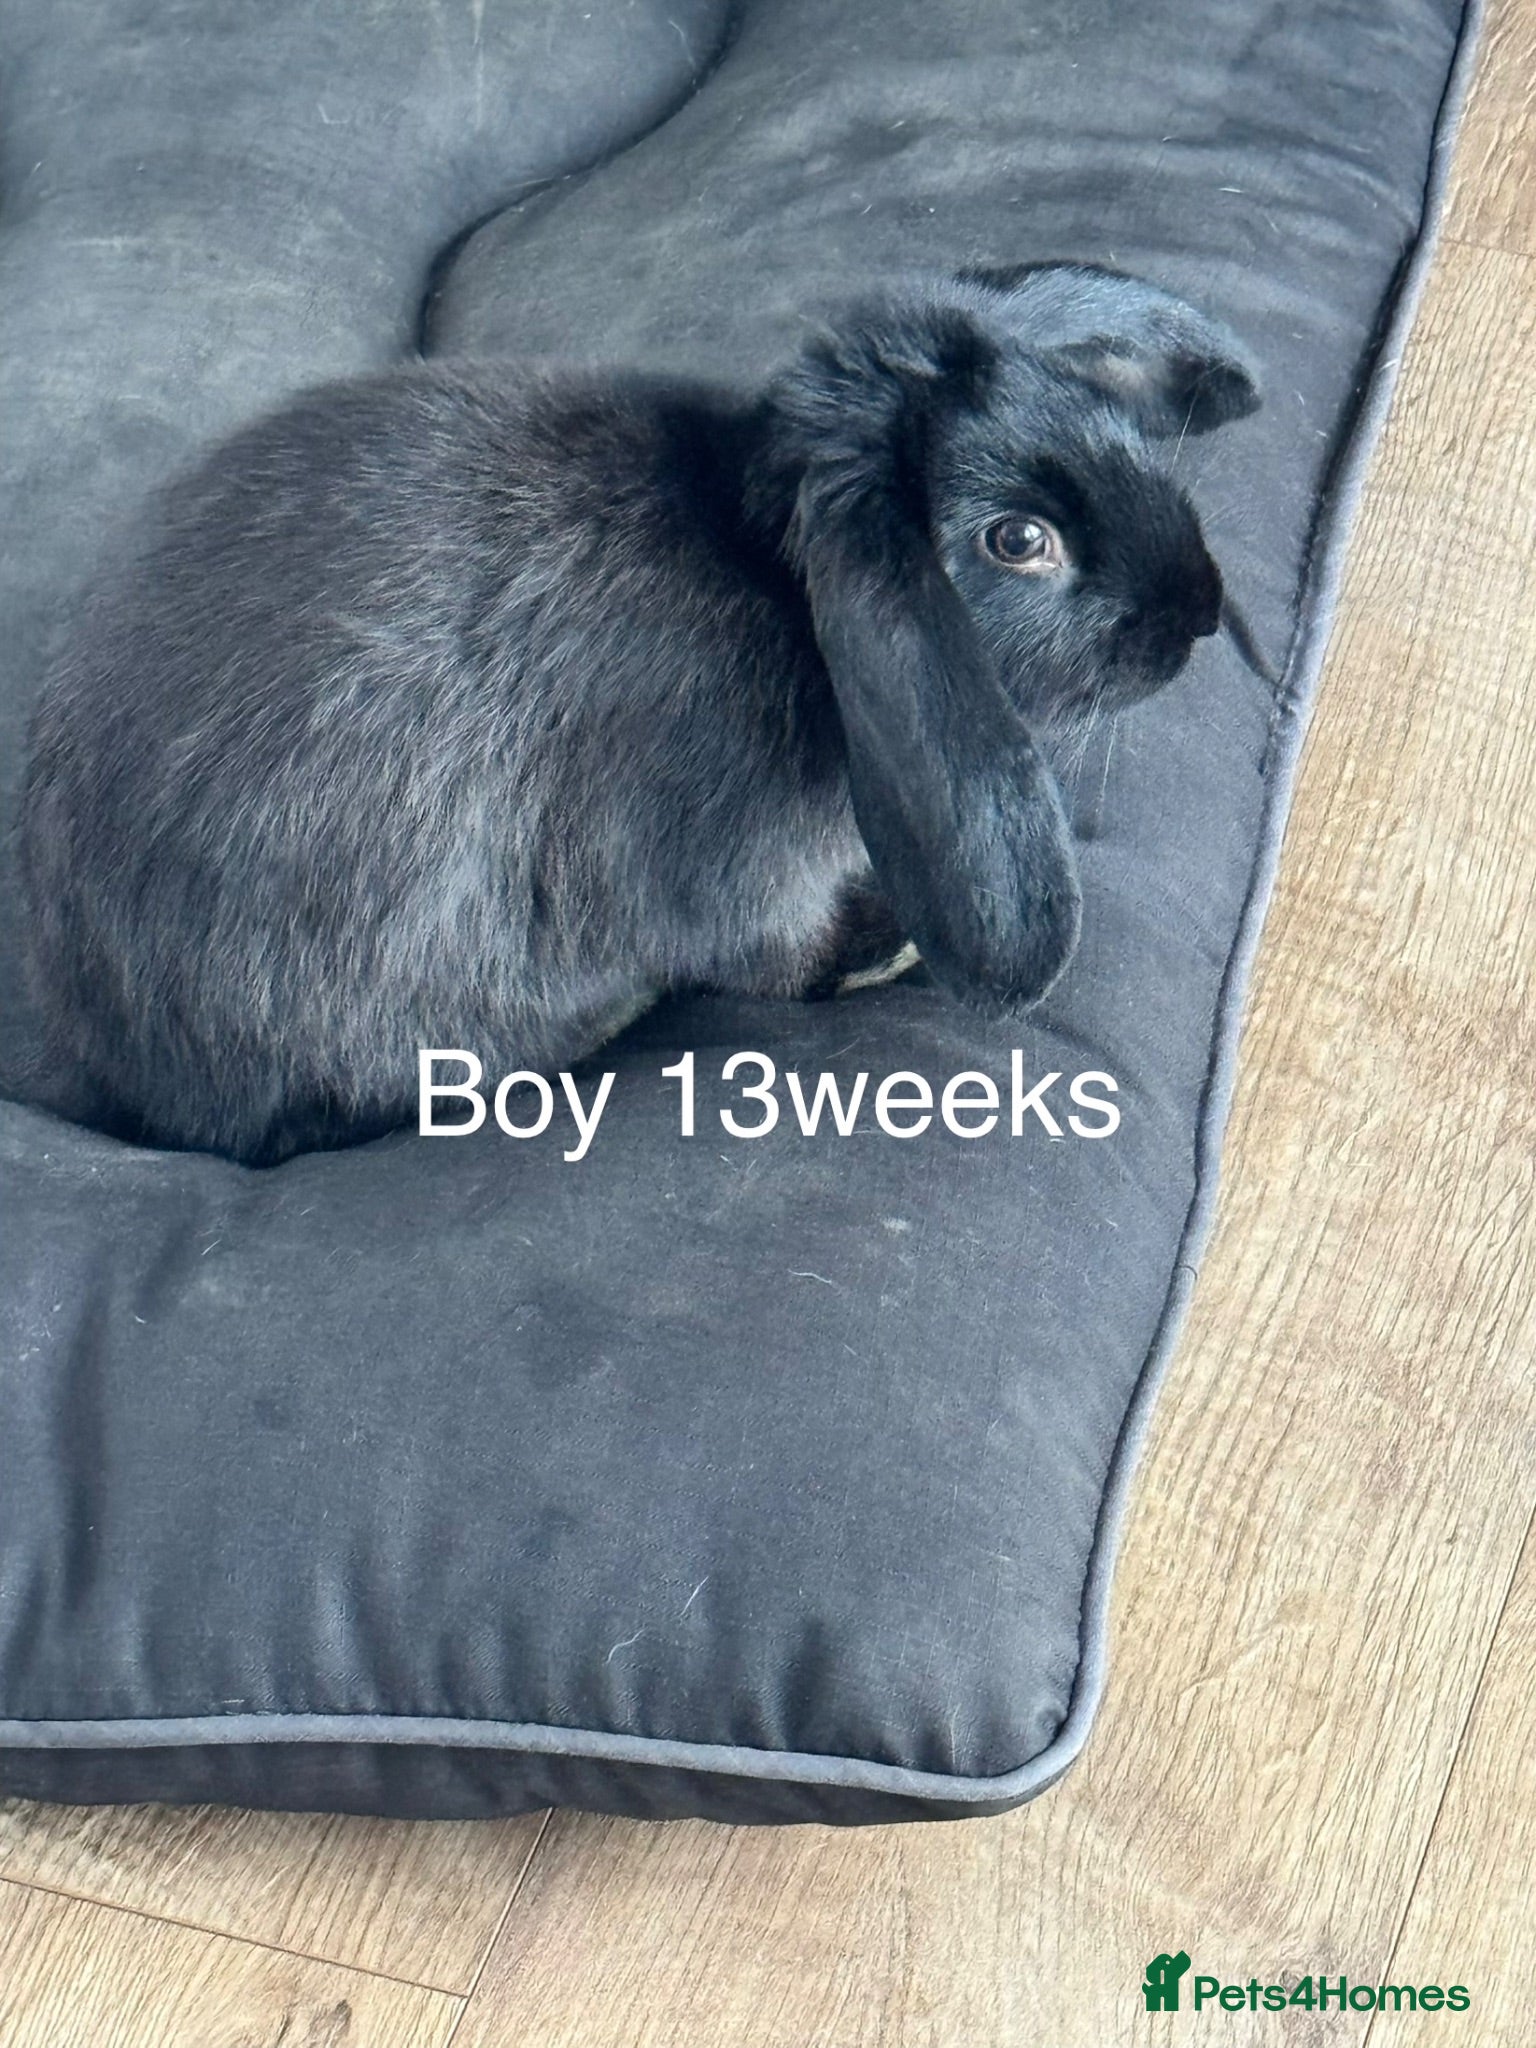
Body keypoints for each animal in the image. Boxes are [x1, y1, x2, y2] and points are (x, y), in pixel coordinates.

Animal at [19, 263, 1259, 1167]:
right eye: (1018, 540)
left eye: (1104, 419)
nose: (1197, 607)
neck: (778, 577)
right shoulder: (726, 876)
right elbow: (778, 956)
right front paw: (877, 945)